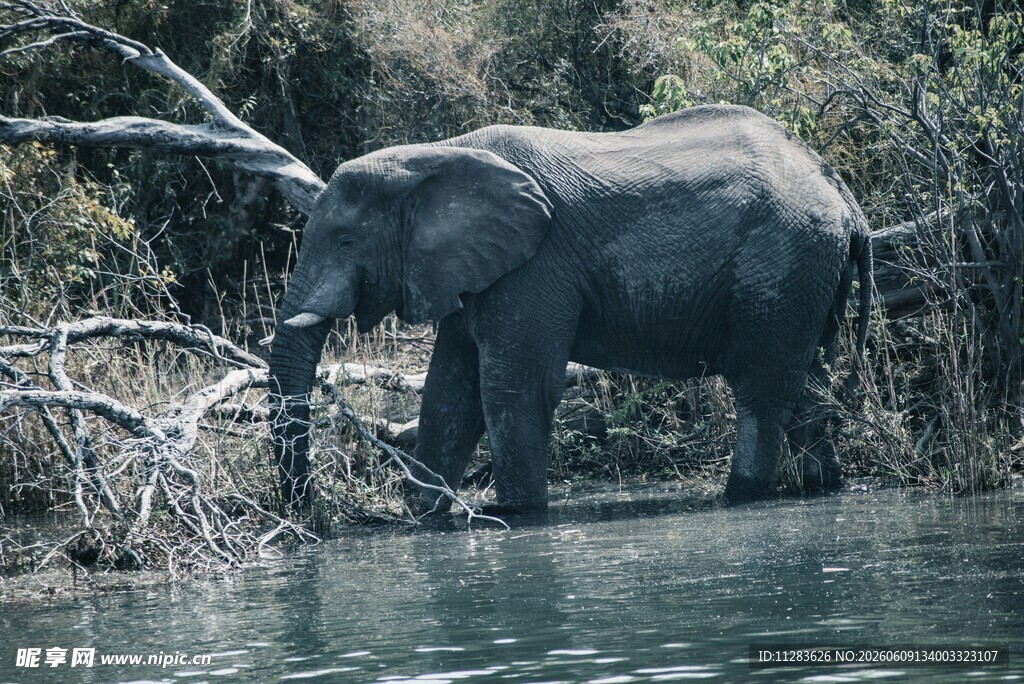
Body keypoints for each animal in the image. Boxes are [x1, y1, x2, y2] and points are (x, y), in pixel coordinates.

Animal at [267, 104, 872, 513]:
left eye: (346, 241)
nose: (311, 511)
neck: (435, 154)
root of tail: (845, 197)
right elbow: (448, 393)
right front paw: (425, 517)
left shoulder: (534, 266)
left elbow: (512, 389)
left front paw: (514, 515)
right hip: (807, 275)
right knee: (811, 387)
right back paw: (825, 487)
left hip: (782, 263)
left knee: (763, 393)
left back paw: (741, 497)